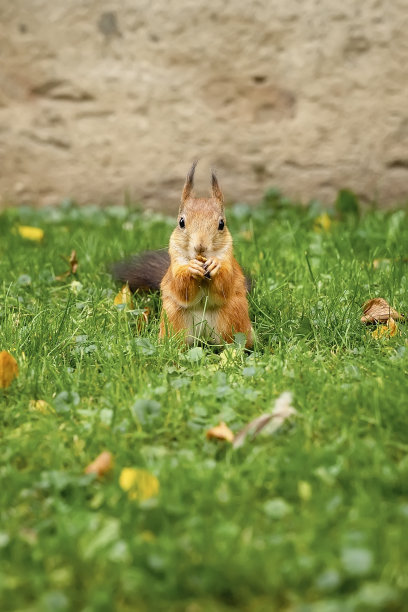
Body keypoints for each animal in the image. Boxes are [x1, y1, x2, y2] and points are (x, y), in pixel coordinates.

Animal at [113, 160, 253, 346]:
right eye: (181, 222)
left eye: (221, 224)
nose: (200, 247)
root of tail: (203, 338)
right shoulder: (175, 265)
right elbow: (181, 288)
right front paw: (191, 269)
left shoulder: (230, 263)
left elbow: (225, 285)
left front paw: (215, 266)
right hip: (173, 318)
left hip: (234, 316)